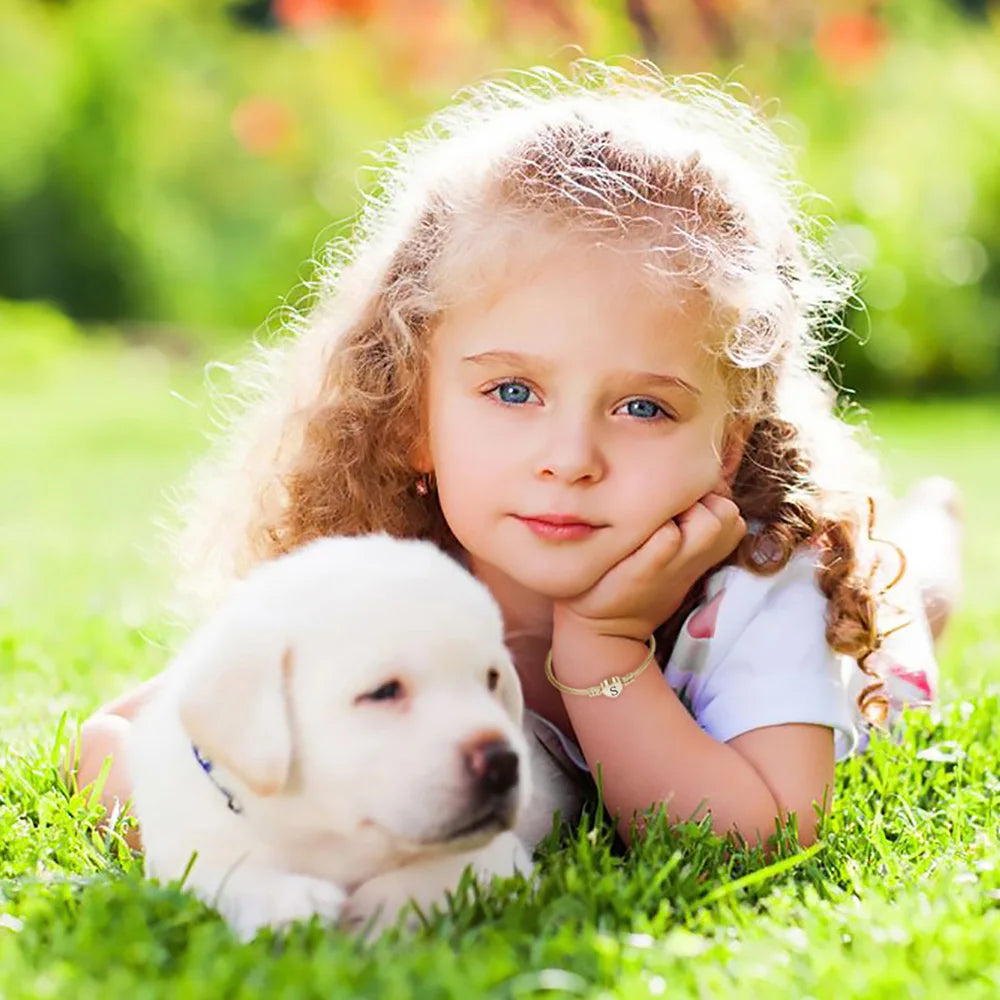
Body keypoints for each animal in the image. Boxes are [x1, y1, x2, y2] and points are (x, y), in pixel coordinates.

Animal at [129, 536, 548, 940]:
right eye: (384, 691)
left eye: (492, 679)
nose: (502, 762)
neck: (320, 834)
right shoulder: (184, 851)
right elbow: (221, 875)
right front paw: (291, 904)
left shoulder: (503, 857)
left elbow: (447, 870)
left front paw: (378, 910)